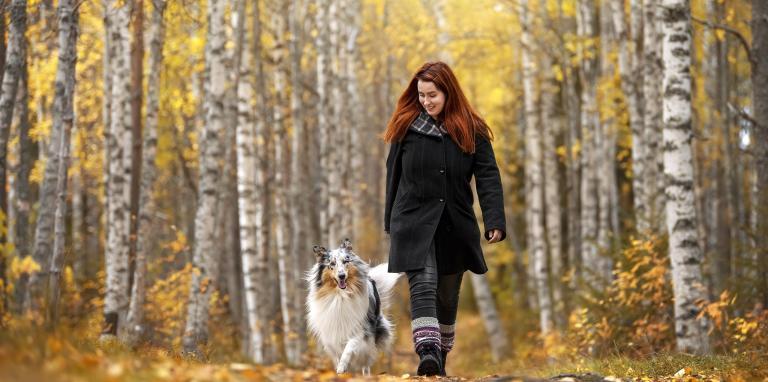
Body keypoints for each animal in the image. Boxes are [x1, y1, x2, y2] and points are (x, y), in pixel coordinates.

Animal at [306, 237, 402, 374]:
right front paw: (340, 370)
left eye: (346, 261)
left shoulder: (359, 328)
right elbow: (337, 354)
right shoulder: (330, 332)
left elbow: (349, 349)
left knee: (366, 363)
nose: (341, 276)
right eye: (332, 264)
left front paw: (342, 368)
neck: (341, 296)